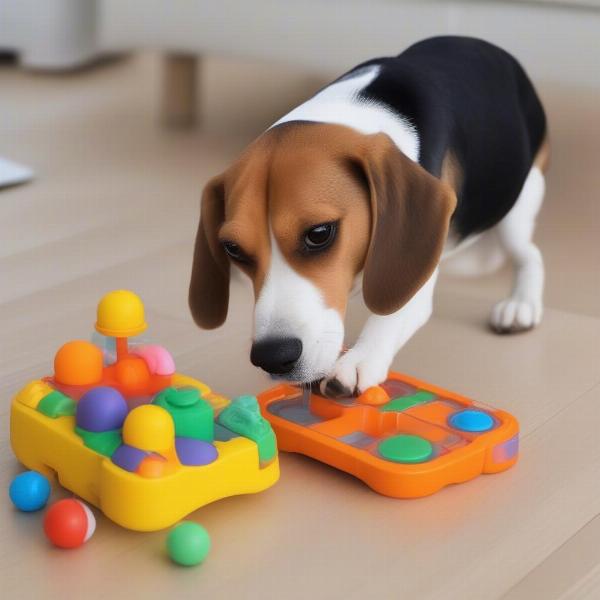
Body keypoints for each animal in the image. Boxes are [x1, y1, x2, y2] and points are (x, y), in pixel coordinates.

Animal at [189, 35, 548, 396]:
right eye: (233, 249)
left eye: (319, 233)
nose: (273, 357)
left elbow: (394, 308)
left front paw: (360, 360)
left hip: (519, 203)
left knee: (528, 253)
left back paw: (520, 305)